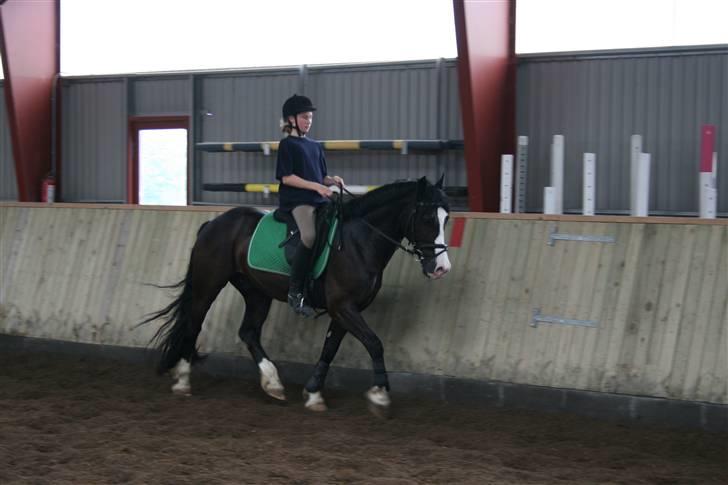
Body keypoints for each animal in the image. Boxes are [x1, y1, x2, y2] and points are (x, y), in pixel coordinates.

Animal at [138, 176, 450, 414]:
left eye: (446, 219)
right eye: (426, 218)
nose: (441, 269)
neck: (359, 242)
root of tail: (213, 224)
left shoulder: (345, 310)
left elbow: (330, 349)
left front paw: (313, 394)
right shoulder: (343, 306)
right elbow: (374, 343)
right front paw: (380, 395)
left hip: (256, 292)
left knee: (248, 332)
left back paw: (273, 383)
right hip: (209, 285)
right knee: (194, 323)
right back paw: (182, 381)